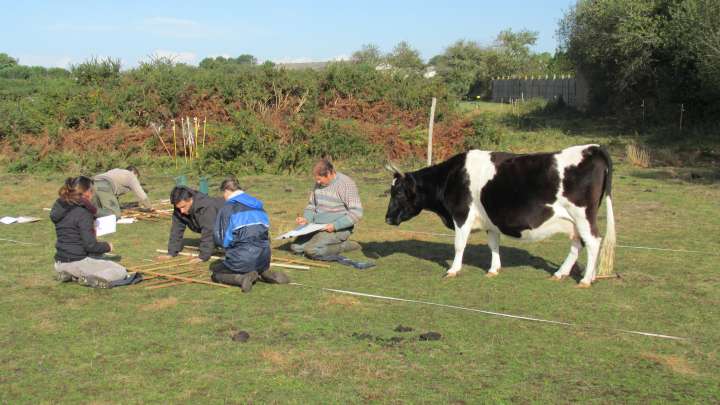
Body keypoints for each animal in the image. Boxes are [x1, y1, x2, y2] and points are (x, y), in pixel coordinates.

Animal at [386, 144, 616, 286]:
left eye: (399, 192)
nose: (387, 218)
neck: (451, 177)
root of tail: (593, 148)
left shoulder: (462, 215)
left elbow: (459, 244)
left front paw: (453, 270)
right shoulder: (490, 221)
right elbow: (493, 244)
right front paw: (494, 269)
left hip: (583, 215)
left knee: (593, 242)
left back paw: (585, 280)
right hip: (574, 221)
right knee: (577, 244)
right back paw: (564, 274)